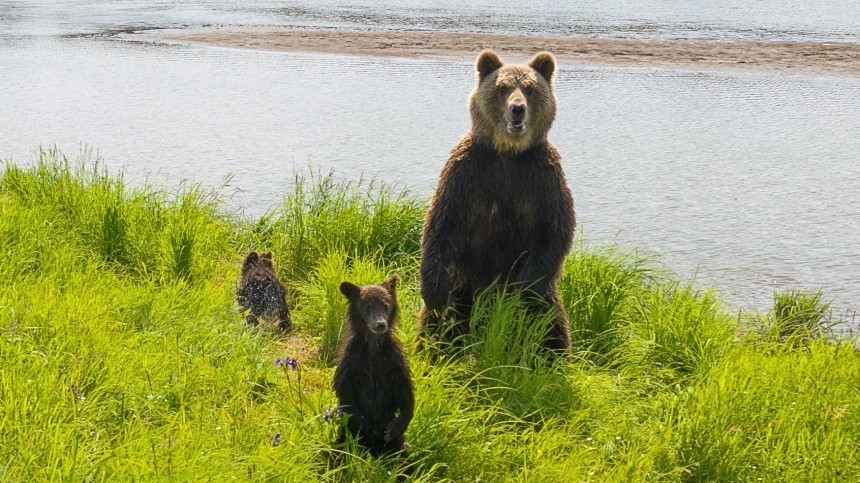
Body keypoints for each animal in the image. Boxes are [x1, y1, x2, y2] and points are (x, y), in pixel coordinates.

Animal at [332, 276, 414, 458]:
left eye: (386, 304)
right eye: (367, 306)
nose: (380, 324)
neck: (373, 346)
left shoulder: (393, 359)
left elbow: (404, 388)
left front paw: (396, 426)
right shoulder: (352, 359)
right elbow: (344, 387)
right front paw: (364, 424)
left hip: (395, 445)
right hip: (345, 436)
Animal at [418, 50, 576, 352]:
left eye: (529, 88)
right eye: (502, 88)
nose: (518, 109)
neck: (508, 152)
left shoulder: (542, 178)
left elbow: (554, 230)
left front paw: (525, 289)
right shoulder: (468, 173)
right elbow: (442, 224)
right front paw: (432, 288)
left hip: (548, 301)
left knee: (551, 326)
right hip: (464, 286)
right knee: (440, 322)